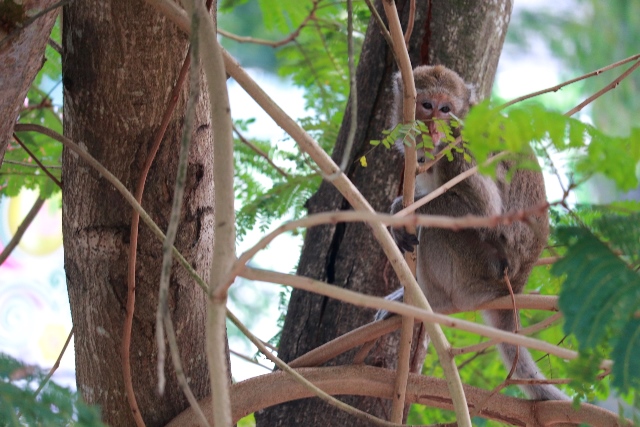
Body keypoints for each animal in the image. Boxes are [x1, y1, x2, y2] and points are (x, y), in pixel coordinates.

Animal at [378, 64, 568, 402]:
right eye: (426, 105)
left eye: (445, 109)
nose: (434, 128)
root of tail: (511, 289)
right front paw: (400, 207)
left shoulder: (460, 149)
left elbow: (486, 212)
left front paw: (402, 213)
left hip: (476, 272)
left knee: (441, 227)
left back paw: (426, 301)